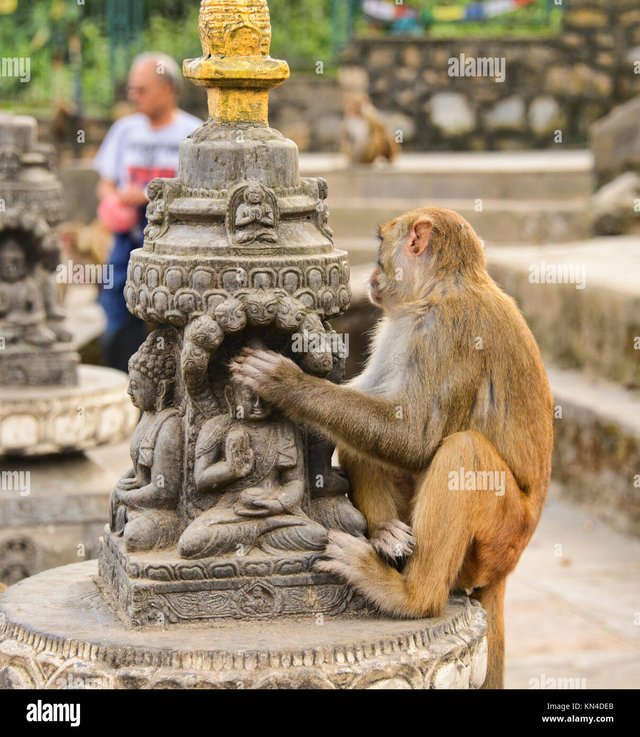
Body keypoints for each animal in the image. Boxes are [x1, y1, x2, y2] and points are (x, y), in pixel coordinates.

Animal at [231, 204, 556, 688]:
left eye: (381, 244)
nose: (370, 276)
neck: (443, 286)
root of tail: (507, 568)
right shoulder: (399, 329)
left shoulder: (444, 330)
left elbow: (414, 437)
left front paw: (287, 383)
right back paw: (386, 535)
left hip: (499, 537)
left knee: (462, 451)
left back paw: (409, 595)